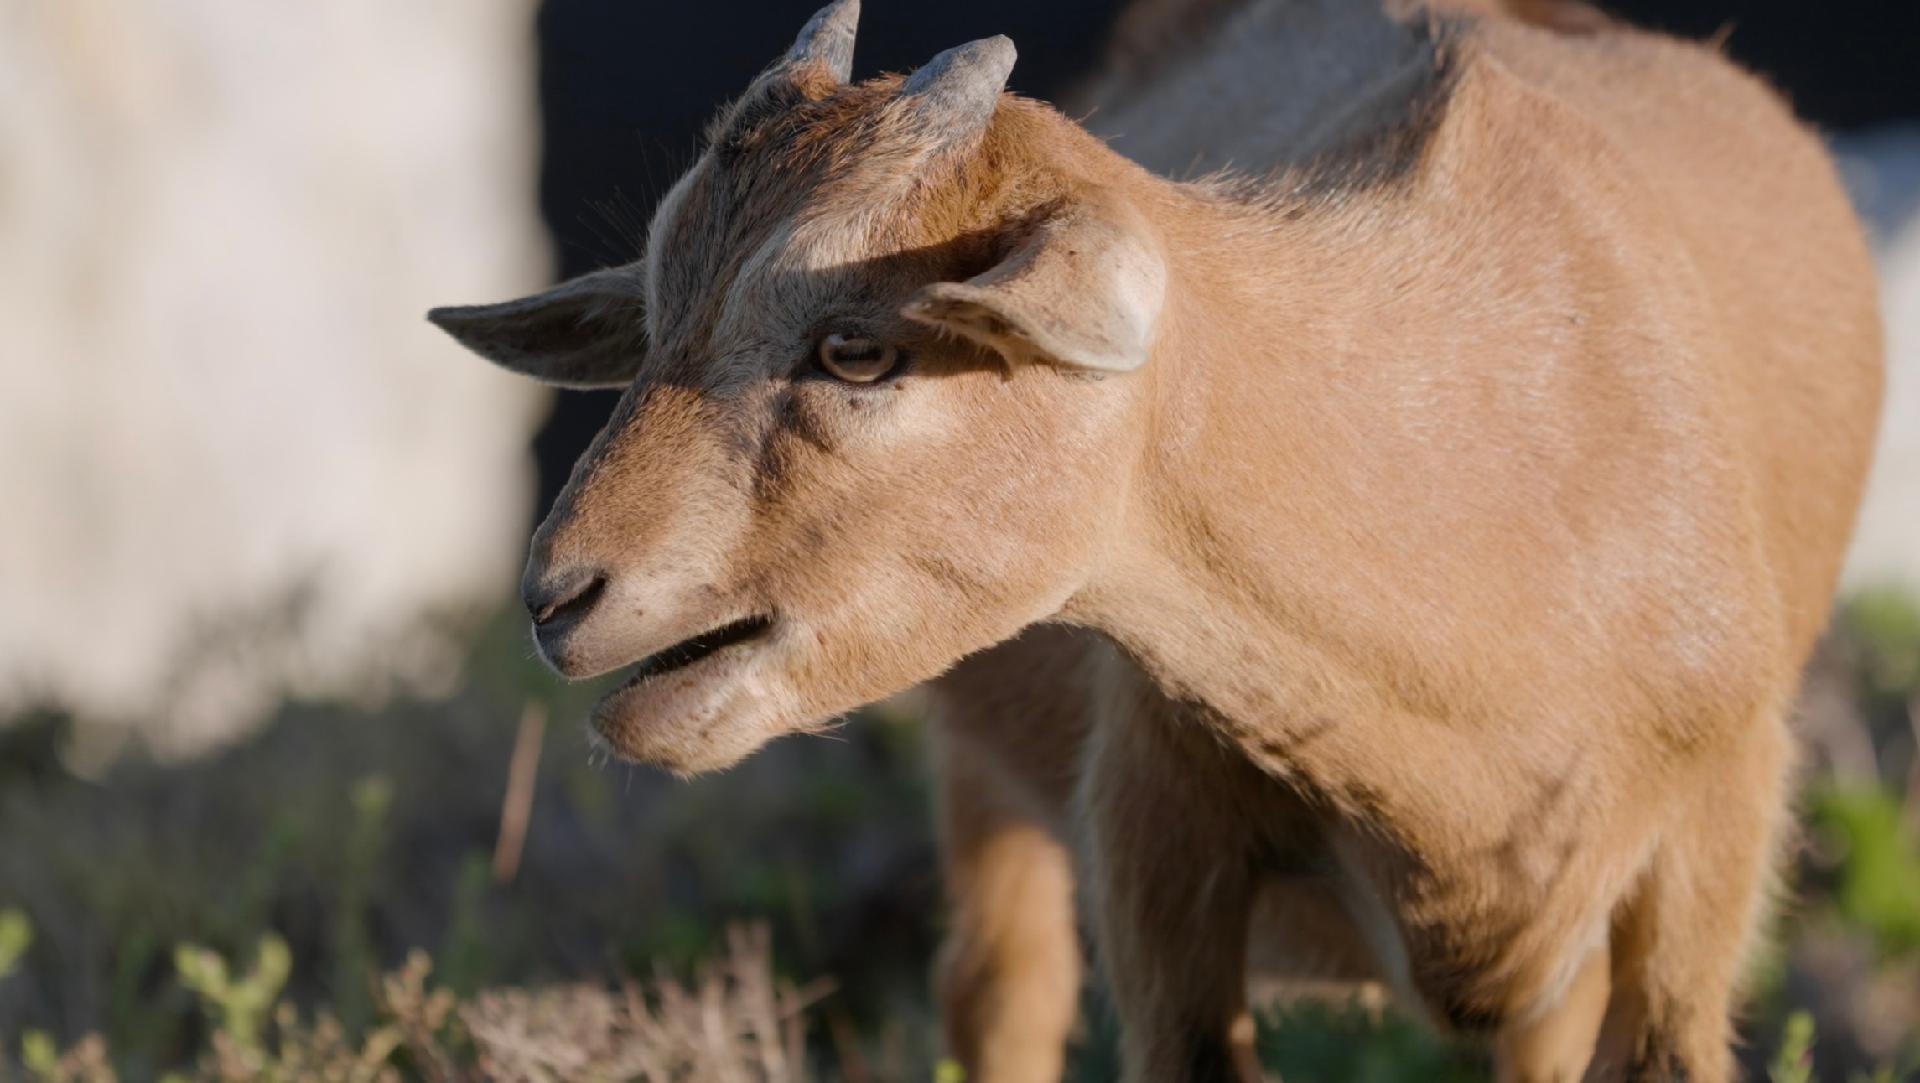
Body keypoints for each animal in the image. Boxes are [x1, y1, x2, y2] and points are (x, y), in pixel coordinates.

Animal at [428, 4, 1881, 1075]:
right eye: (653, 312)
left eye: (856, 347)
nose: (561, 593)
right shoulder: (1158, 833)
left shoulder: (1711, 843)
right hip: (988, 785)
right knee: (998, 999)